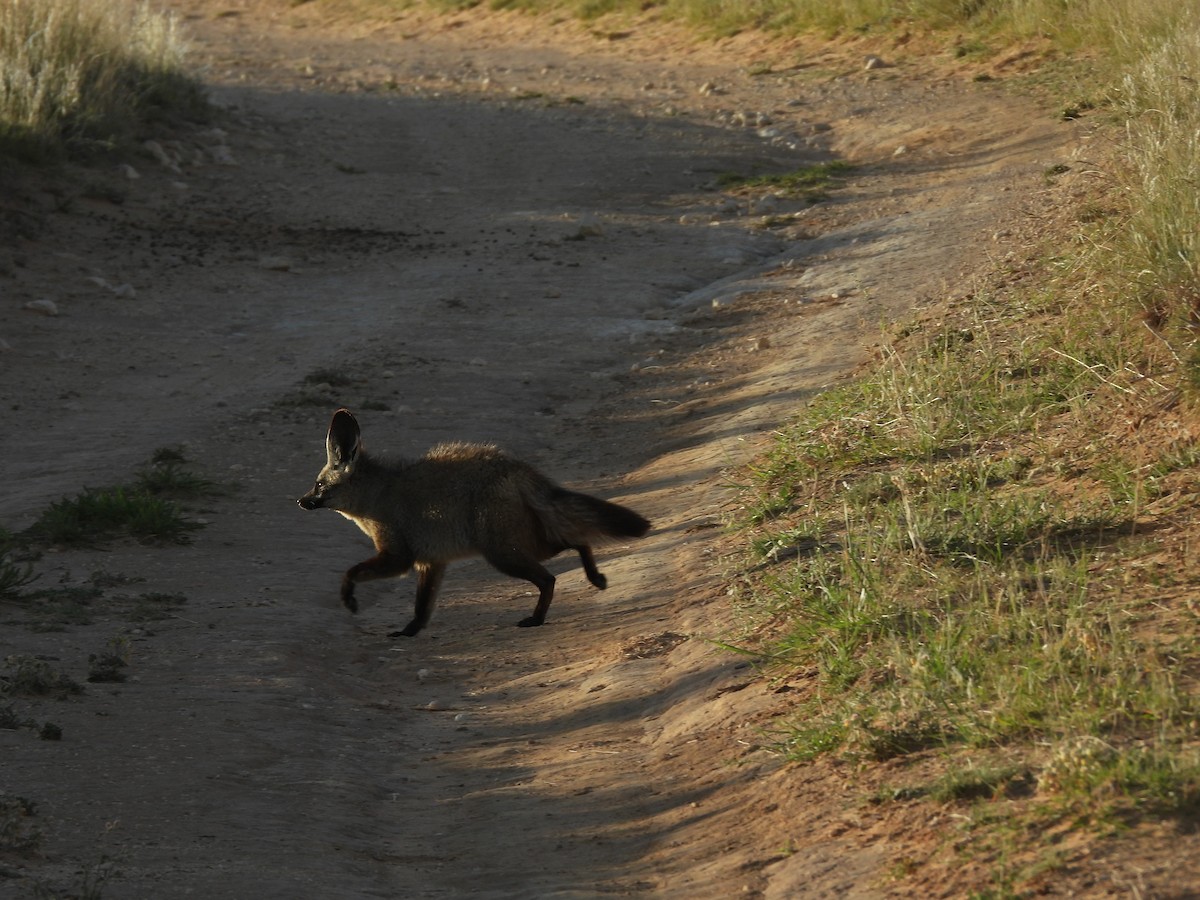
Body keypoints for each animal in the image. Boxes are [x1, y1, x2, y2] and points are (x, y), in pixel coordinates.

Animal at [297, 408, 651, 637]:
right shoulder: (432, 561)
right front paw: (410, 632)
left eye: (317, 485)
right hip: (521, 546)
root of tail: (515, 467)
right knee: (577, 540)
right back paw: (595, 579)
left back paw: (538, 618)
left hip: (502, 554)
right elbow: (421, 608)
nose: (300, 502)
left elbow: (350, 572)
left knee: (551, 576)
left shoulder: (399, 557)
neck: (380, 493)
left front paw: (349, 599)